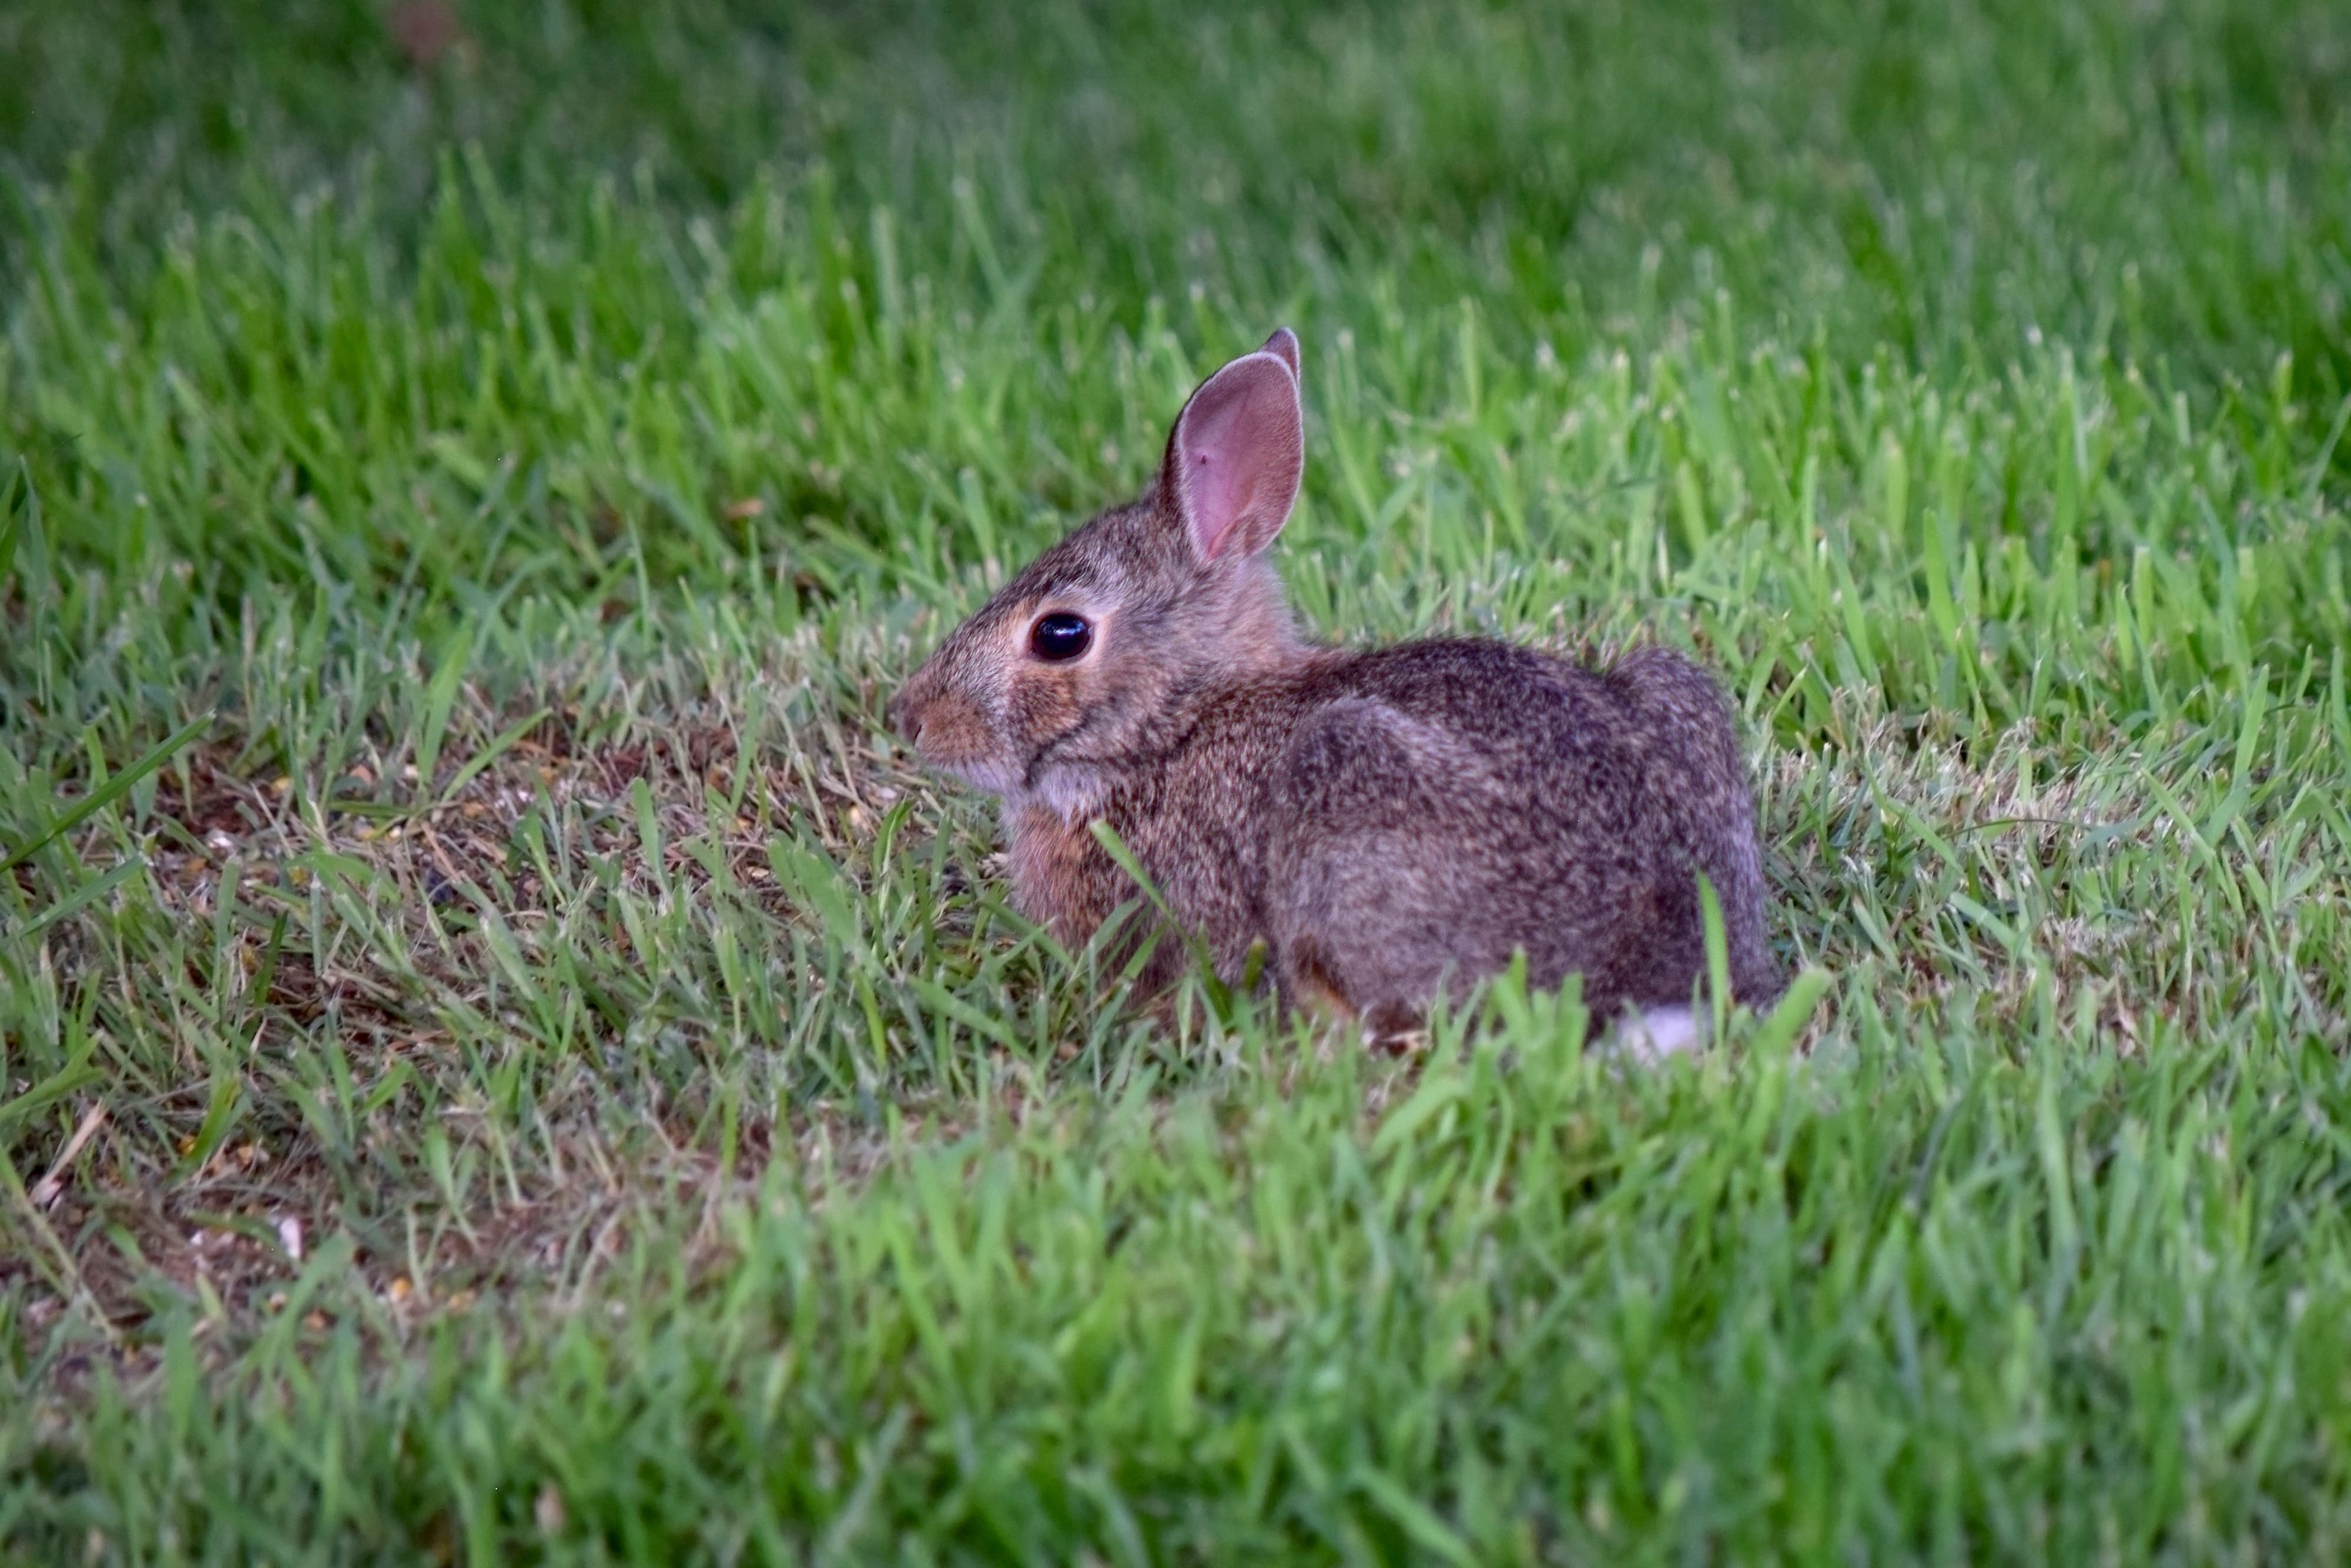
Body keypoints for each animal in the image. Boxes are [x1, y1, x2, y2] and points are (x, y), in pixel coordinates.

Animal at [892, 327, 1780, 1048]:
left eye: (1061, 634)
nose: (911, 717)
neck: (1175, 726)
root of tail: (1656, 961)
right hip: (1672, 687)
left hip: (1345, 790)